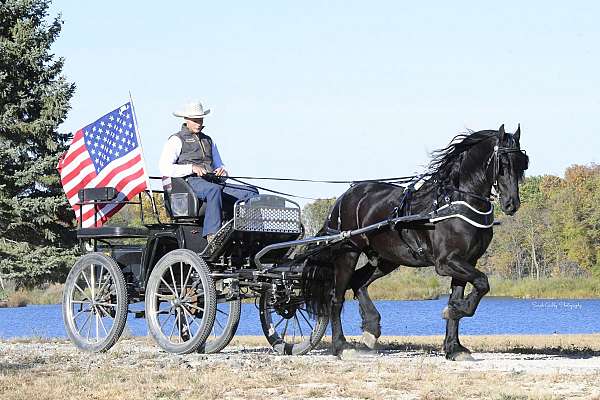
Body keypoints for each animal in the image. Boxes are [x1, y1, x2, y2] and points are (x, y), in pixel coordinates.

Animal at [304, 125, 528, 360]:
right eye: (503, 163)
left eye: (523, 162)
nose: (512, 204)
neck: (456, 203)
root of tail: (343, 198)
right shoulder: (445, 263)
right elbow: (483, 282)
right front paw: (454, 312)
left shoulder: (467, 261)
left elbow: (460, 296)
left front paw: (454, 346)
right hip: (348, 253)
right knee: (335, 298)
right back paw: (341, 345)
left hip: (386, 259)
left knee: (358, 282)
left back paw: (371, 330)